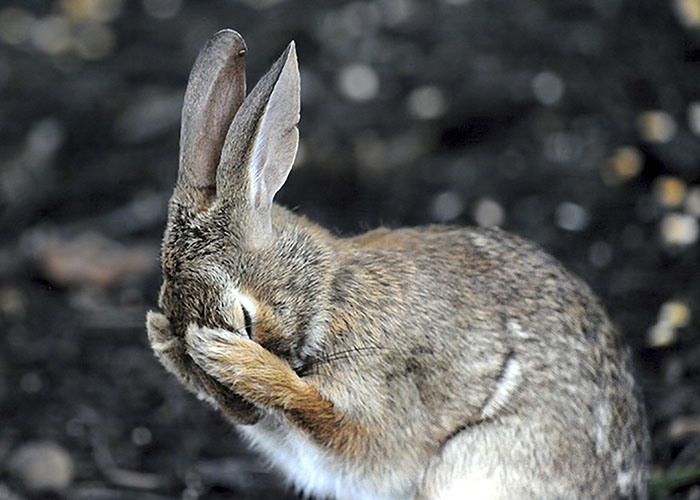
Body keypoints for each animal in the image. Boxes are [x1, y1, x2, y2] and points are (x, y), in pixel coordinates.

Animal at [146, 29, 650, 500]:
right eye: (174, 320)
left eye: (244, 318)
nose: (243, 413)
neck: (326, 294)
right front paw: (162, 340)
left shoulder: (378, 394)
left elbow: (334, 421)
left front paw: (234, 359)